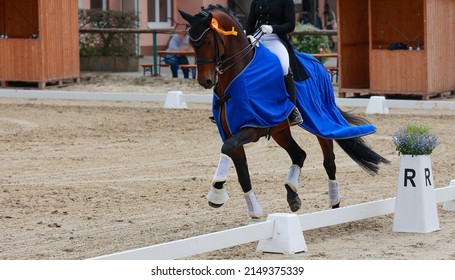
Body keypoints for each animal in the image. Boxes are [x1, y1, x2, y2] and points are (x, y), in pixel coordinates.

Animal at [180, 4, 390, 219]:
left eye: (207, 40)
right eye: (191, 42)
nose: (205, 81)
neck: (240, 73)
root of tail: (318, 63)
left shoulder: (251, 129)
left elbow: (227, 149)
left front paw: (216, 193)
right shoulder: (231, 132)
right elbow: (241, 170)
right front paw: (253, 210)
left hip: (321, 121)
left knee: (329, 161)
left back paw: (334, 203)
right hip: (280, 130)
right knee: (299, 155)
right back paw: (292, 194)